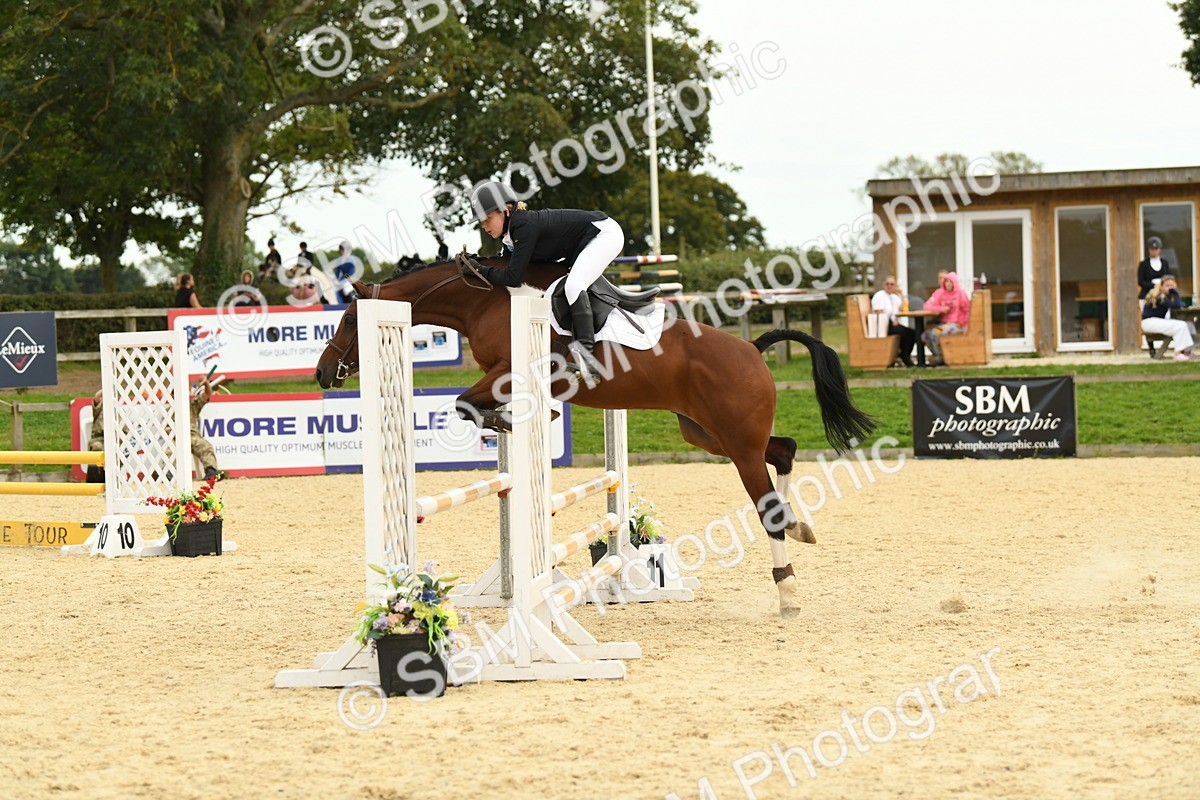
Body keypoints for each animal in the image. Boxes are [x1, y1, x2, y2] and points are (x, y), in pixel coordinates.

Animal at [315, 258, 875, 615]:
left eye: (348, 318)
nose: (323, 373)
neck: (486, 302)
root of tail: (753, 349)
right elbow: (471, 406)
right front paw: (506, 421)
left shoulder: (509, 370)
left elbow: (466, 403)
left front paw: (505, 420)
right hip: (707, 435)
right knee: (785, 451)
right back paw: (803, 529)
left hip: (736, 446)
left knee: (767, 507)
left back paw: (789, 592)